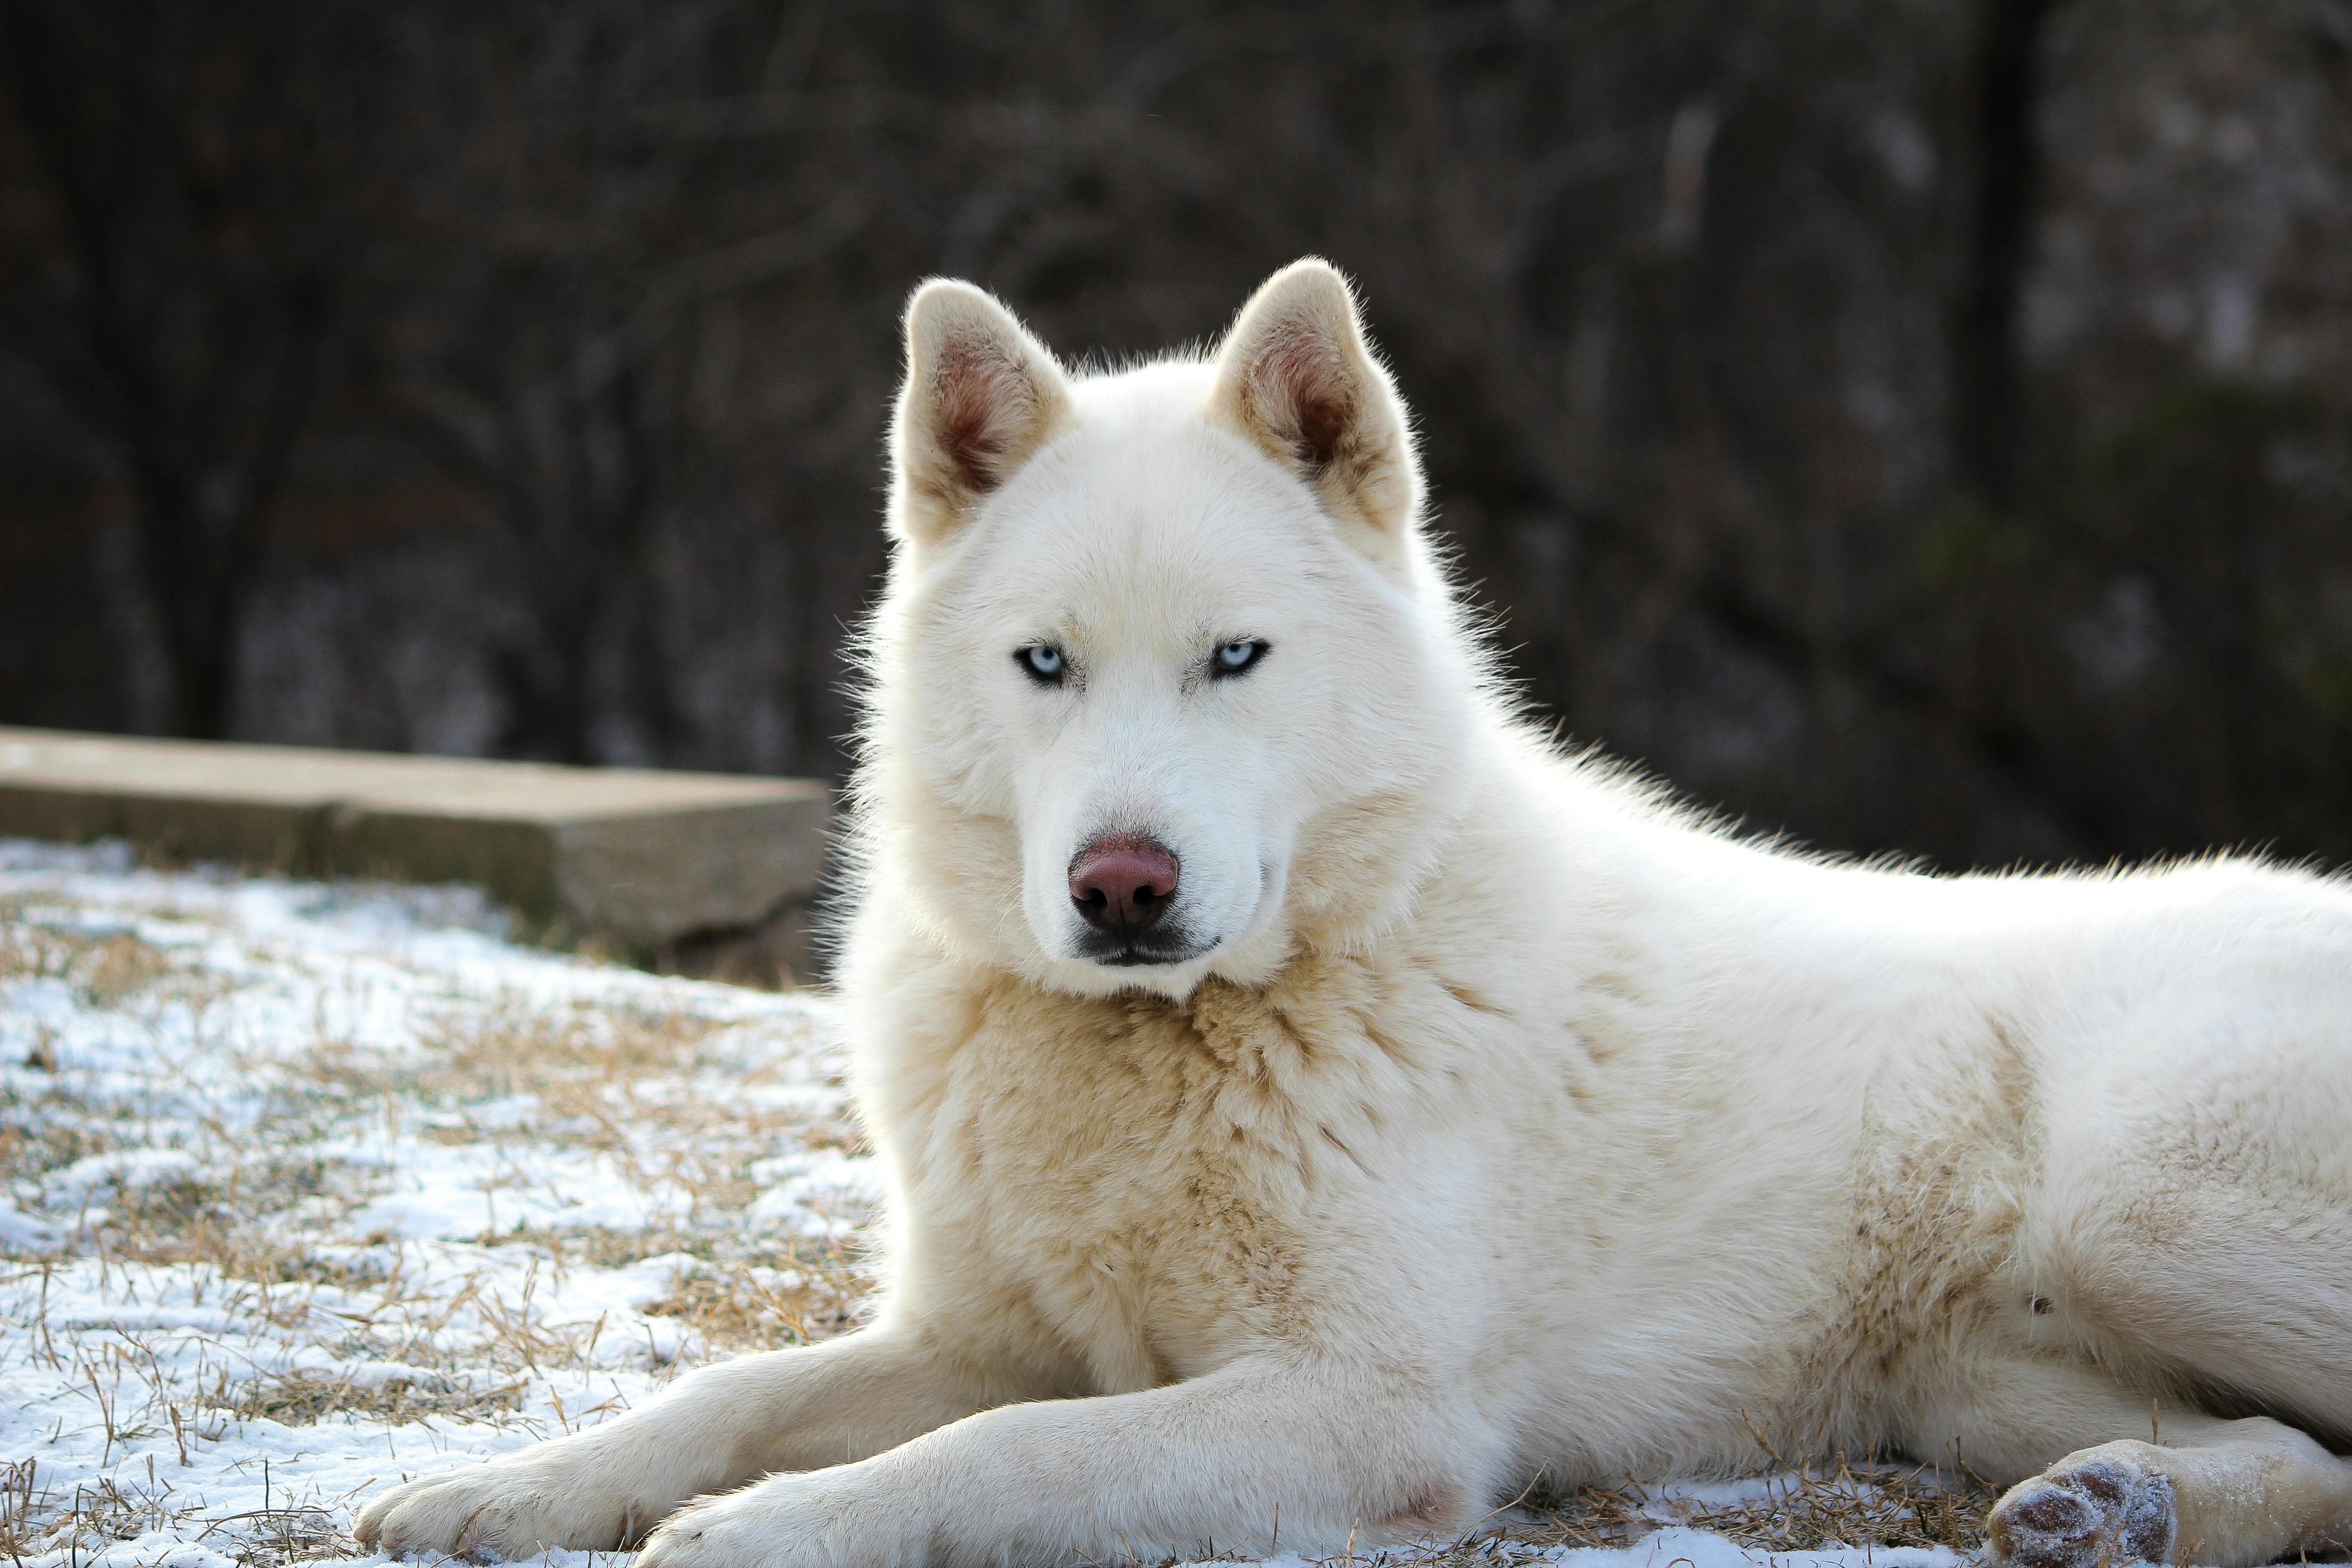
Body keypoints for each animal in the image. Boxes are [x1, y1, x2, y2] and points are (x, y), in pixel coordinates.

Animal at [348, 263, 2352, 1568]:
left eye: (1235, 658)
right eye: (1045, 664)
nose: (1122, 885)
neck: (1172, 1048)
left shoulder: (1361, 1413)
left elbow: (1000, 1456)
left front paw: (761, 1531)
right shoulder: (971, 1332)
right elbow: (734, 1387)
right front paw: (506, 1491)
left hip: (2144, 1198)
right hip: (1976, 1376)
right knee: (2302, 1459)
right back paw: (2120, 1508)